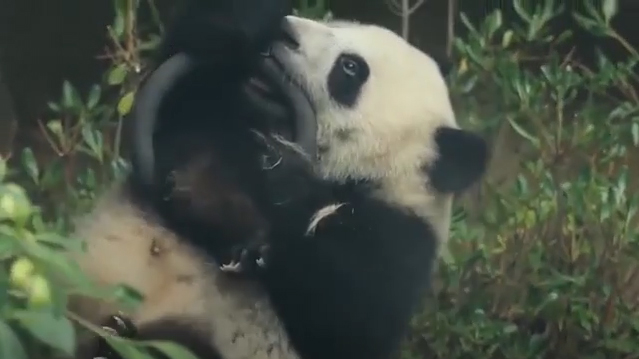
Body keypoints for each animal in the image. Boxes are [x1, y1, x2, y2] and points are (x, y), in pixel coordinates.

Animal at [67, 0, 490, 359]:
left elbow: (346, 323)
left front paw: (256, 187)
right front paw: (245, 21)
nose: (286, 32)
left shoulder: (399, 243)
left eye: (350, 68)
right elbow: (179, 106)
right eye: (338, 23)